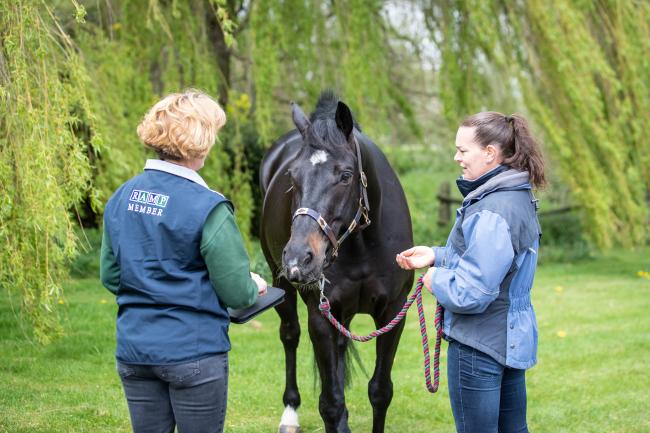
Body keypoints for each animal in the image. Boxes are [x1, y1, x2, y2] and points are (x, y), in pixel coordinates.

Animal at [259, 91, 414, 433]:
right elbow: (330, 404)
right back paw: (290, 413)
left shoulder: (393, 313)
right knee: (290, 335)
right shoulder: (320, 315)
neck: (362, 247)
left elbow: (380, 392)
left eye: (345, 175)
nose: (299, 258)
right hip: (282, 287)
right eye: (292, 176)